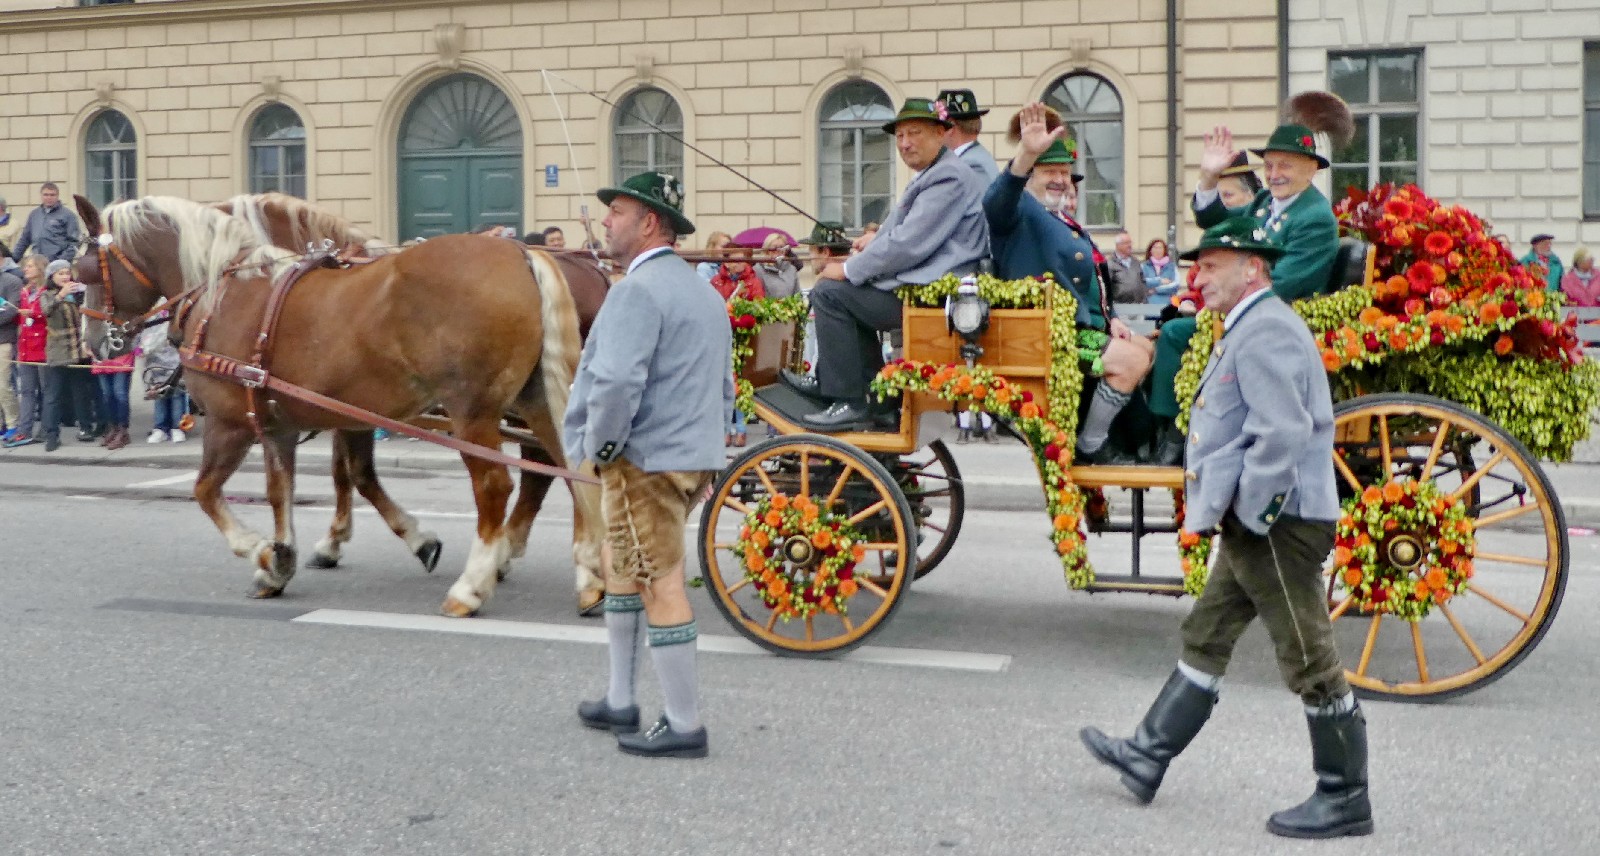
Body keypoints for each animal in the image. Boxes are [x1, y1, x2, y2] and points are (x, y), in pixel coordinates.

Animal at [72, 194, 598, 618]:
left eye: (84, 271)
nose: (96, 343)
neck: (227, 294)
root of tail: (522, 253)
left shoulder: (231, 424)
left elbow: (206, 492)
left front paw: (263, 552)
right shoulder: (283, 423)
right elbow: (286, 489)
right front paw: (283, 558)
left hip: (474, 411)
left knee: (496, 485)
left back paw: (472, 586)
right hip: (537, 401)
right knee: (571, 469)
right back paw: (590, 577)